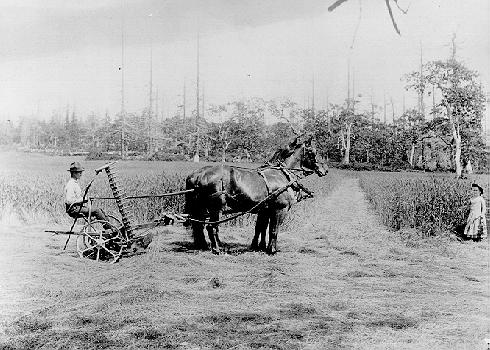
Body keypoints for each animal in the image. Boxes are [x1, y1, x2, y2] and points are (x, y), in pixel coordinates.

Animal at [182, 136, 328, 254]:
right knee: (211, 227)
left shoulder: (265, 209)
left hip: (201, 208)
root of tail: (198, 174)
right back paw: (217, 249)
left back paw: (204, 245)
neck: (282, 174)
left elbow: (261, 228)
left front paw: (259, 246)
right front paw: (272, 250)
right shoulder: (280, 209)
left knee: (199, 225)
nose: (325, 169)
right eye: (313, 152)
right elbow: (274, 229)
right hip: (216, 208)